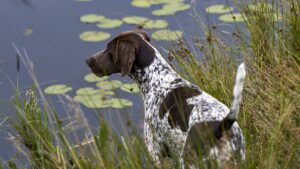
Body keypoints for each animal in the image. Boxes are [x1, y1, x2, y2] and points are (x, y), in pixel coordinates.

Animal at [85, 29, 246, 168]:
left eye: (109, 50)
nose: (88, 60)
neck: (158, 78)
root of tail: (221, 126)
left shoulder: (155, 152)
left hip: (187, 161)